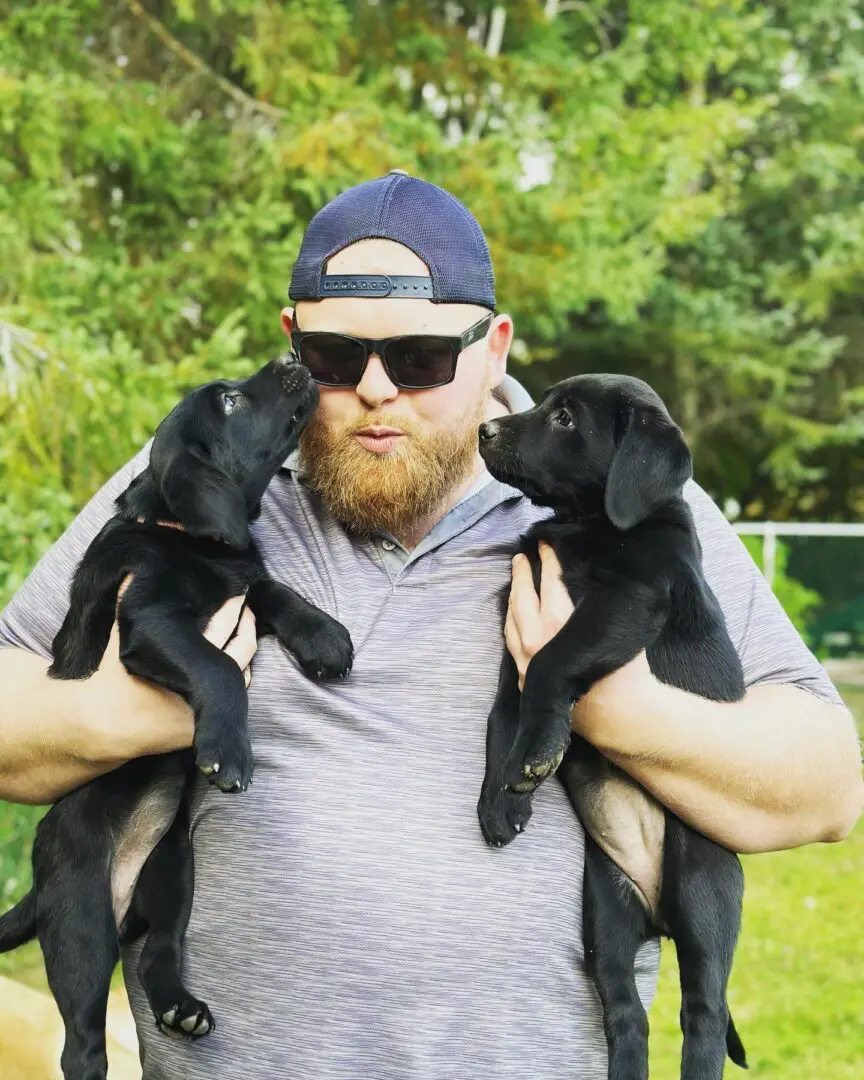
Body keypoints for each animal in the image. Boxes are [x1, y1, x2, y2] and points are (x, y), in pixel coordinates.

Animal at [0, 356, 354, 1080]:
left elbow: (269, 588)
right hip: (81, 920)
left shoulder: (240, 583)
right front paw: (230, 751)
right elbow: (218, 669)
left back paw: (181, 1007)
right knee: (80, 1040)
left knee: (158, 953)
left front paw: (325, 637)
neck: (179, 534)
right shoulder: (151, 619)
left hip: (173, 874)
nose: (292, 361)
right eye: (228, 402)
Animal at [475, 371, 747, 1080]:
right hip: (606, 915)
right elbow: (500, 718)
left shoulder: (626, 599)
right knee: (628, 1015)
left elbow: (550, 663)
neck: (586, 523)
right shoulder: (513, 633)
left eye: (566, 419)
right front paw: (501, 800)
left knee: (704, 1014)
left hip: (703, 888)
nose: (484, 429)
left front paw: (537, 754)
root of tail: (658, 916)